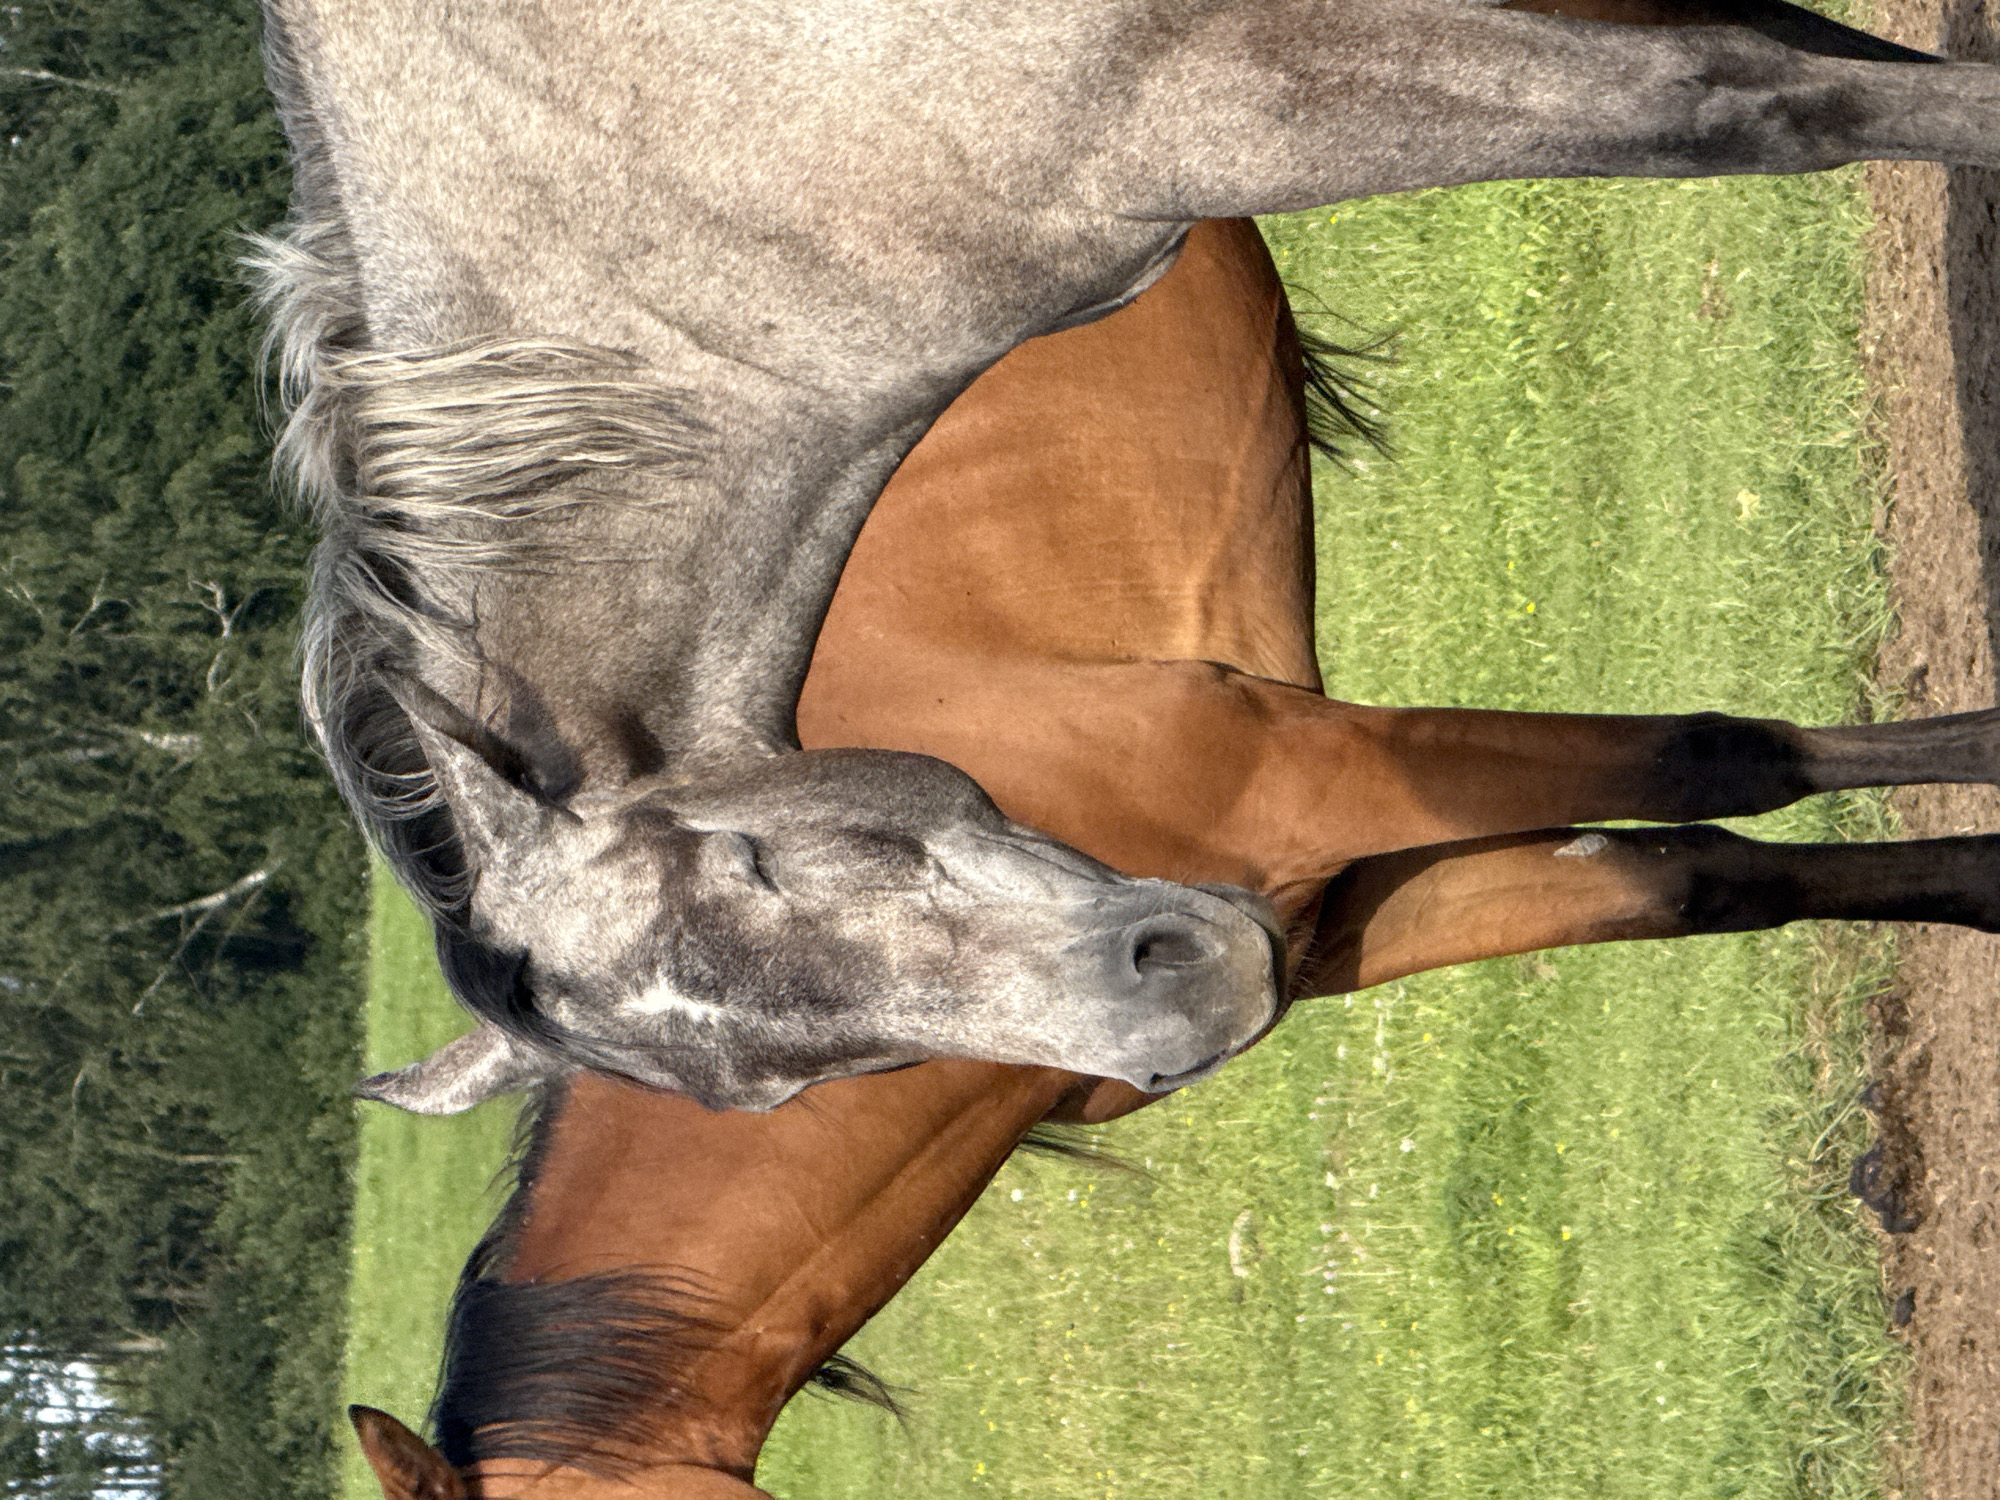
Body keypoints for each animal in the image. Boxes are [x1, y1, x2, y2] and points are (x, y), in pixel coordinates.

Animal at [248, 0, 2000, 1108]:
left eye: (754, 864)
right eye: (810, 1083)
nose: (1184, 1003)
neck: (671, 195)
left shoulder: (1224, 86)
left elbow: (1780, 92)